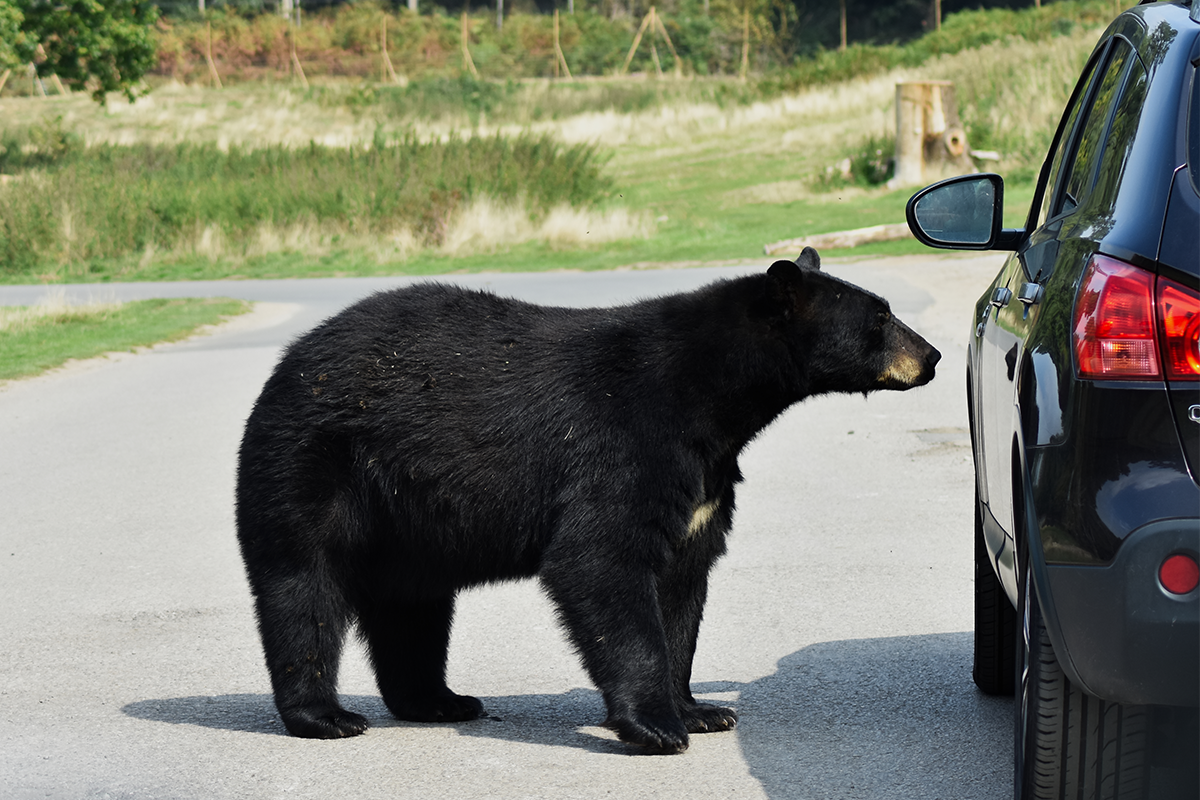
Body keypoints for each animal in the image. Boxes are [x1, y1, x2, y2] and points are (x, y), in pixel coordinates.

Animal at [236, 247, 936, 753]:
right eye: (880, 316)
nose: (929, 355)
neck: (712, 398)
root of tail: (291, 358)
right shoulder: (625, 443)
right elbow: (600, 559)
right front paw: (657, 726)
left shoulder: (703, 480)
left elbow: (681, 582)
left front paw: (700, 708)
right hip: (313, 461)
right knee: (303, 584)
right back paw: (324, 715)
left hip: (411, 521)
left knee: (414, 605)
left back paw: (439, 700)